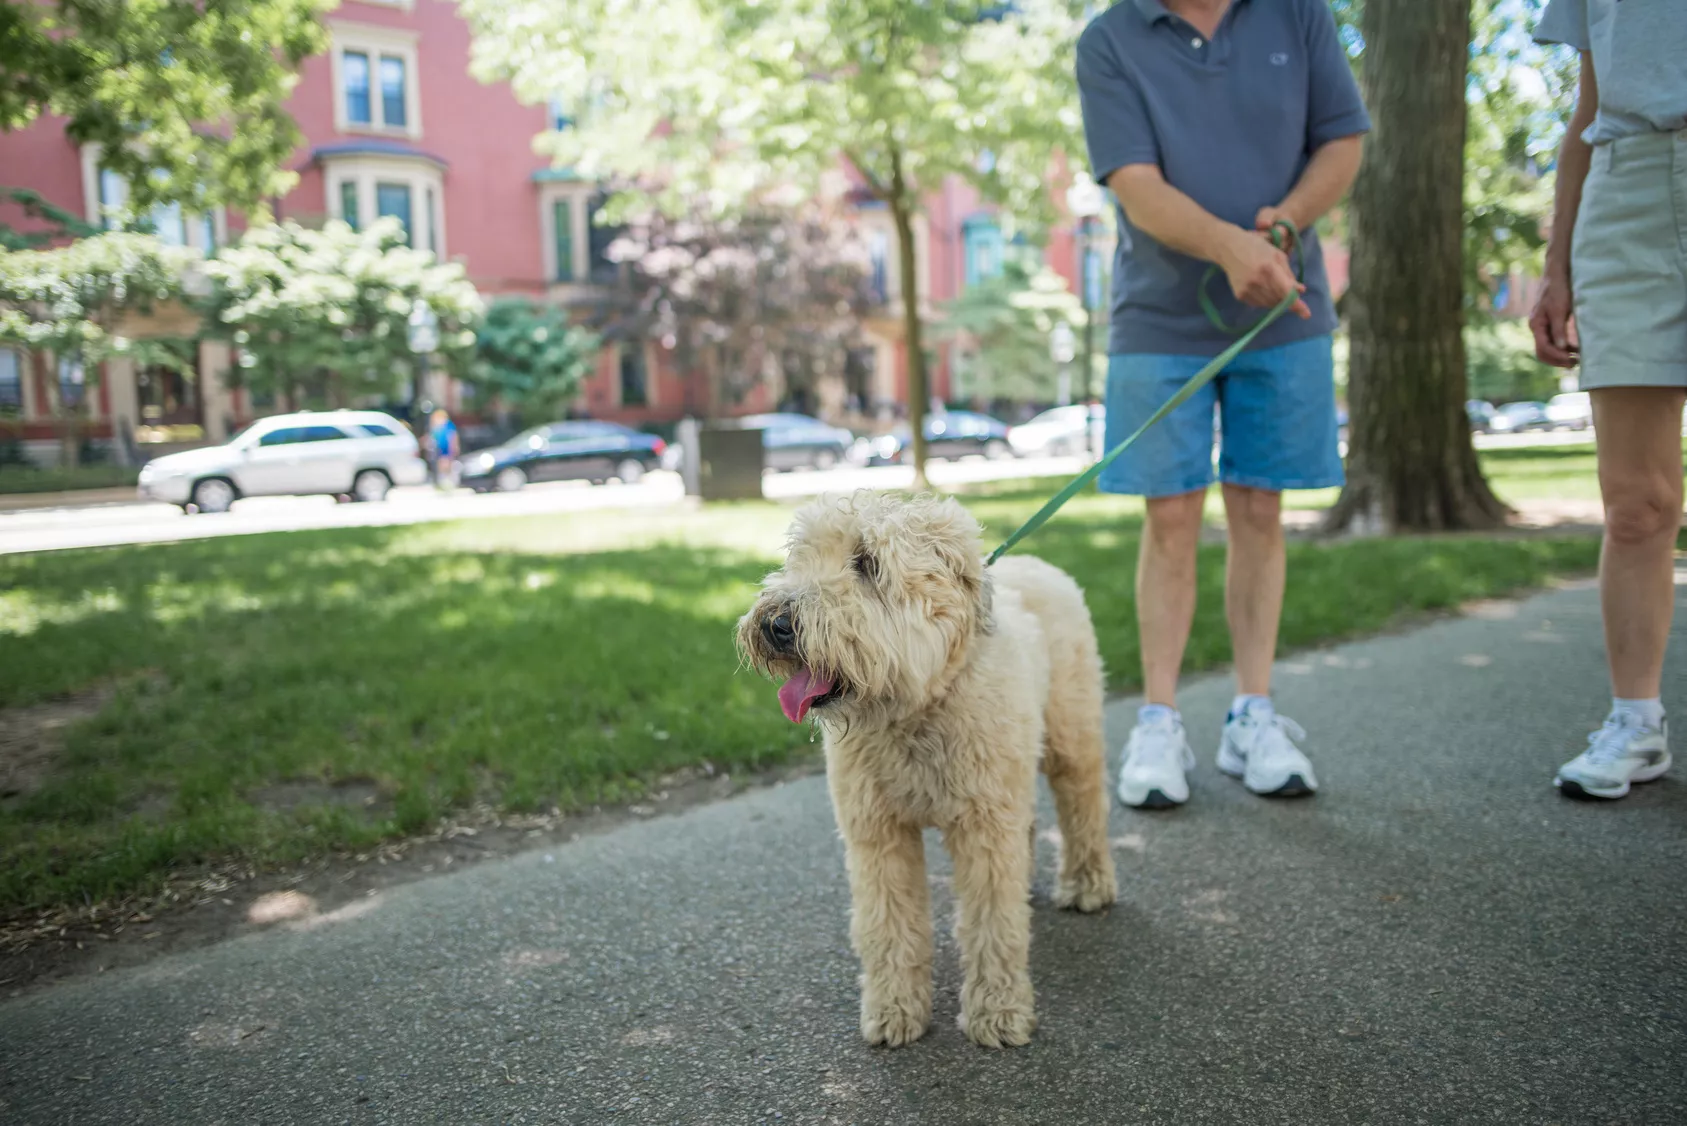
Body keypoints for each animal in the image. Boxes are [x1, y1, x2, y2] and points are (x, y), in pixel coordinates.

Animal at [742, 489, 1120, 1046]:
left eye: (867, 564)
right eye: (800, 556)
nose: (777, 624)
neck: (917, 709)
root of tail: (1037, 563)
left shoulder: (984, 830)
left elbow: (992, 925)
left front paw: (998, 1012)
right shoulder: (879, 835)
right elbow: (889, 925)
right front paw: (895, 1010)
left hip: (1071, 738)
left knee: (1084, 803)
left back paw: (1089, 884)